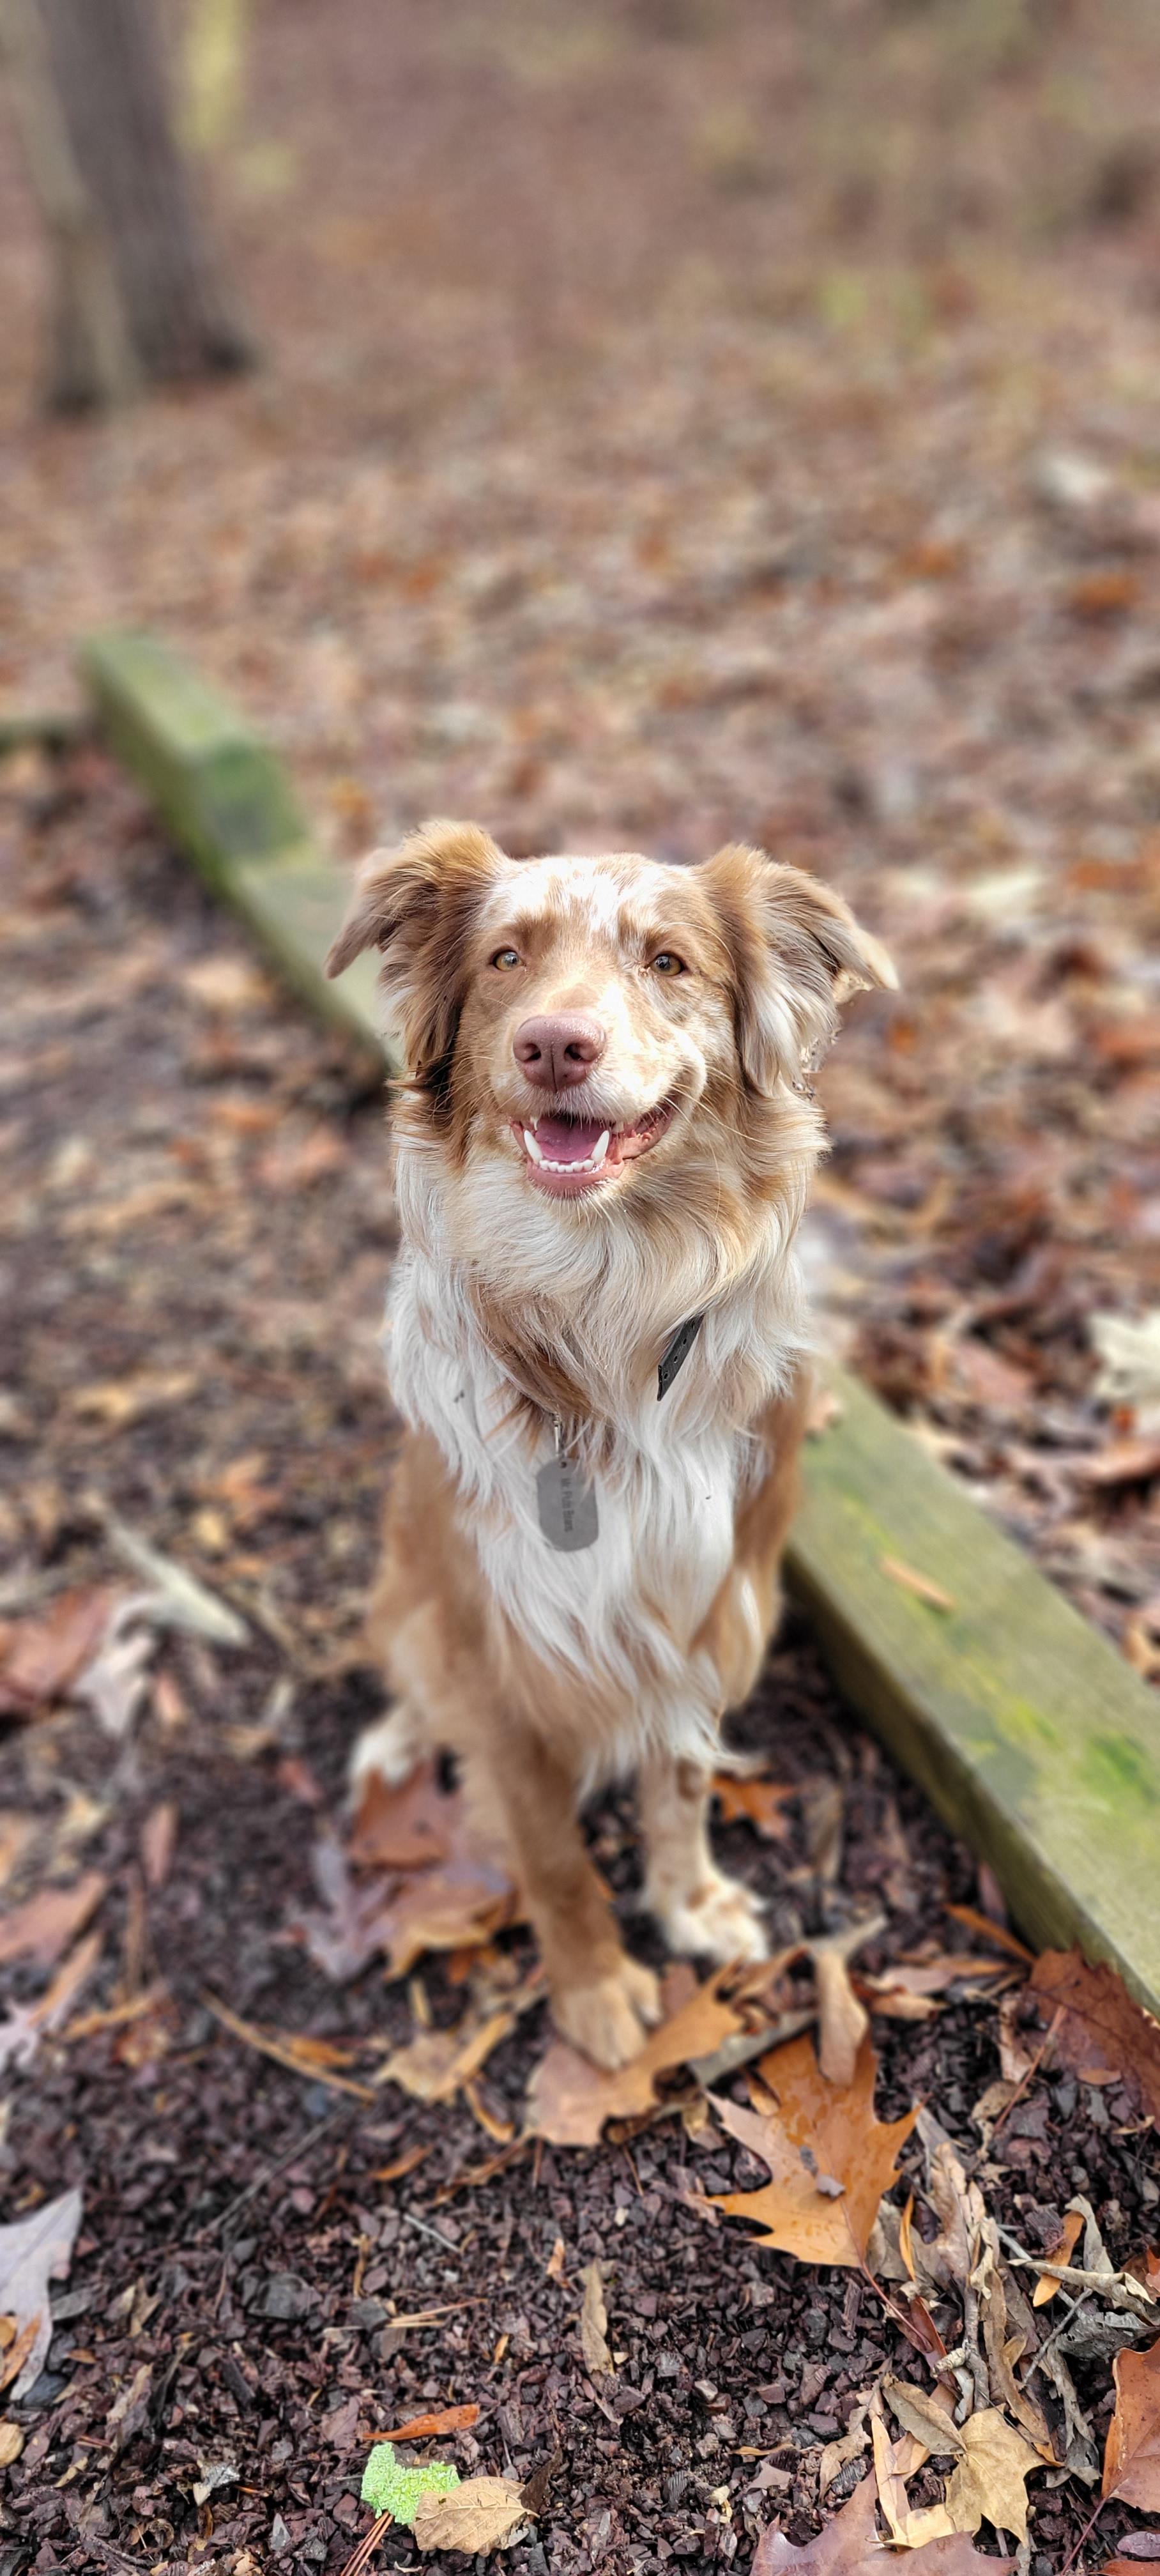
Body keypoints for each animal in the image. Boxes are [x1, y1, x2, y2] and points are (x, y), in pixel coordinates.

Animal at [326, 821, 894, 2068]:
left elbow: (677, 1776)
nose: (553, 1044)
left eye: (669, 962)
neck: (602, 1309)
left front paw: (687, 1901)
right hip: (407, 1592)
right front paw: (593, 1989)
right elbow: (549, 1849)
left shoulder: (709, 1602)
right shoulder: (492, 1640)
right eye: (506, 958)